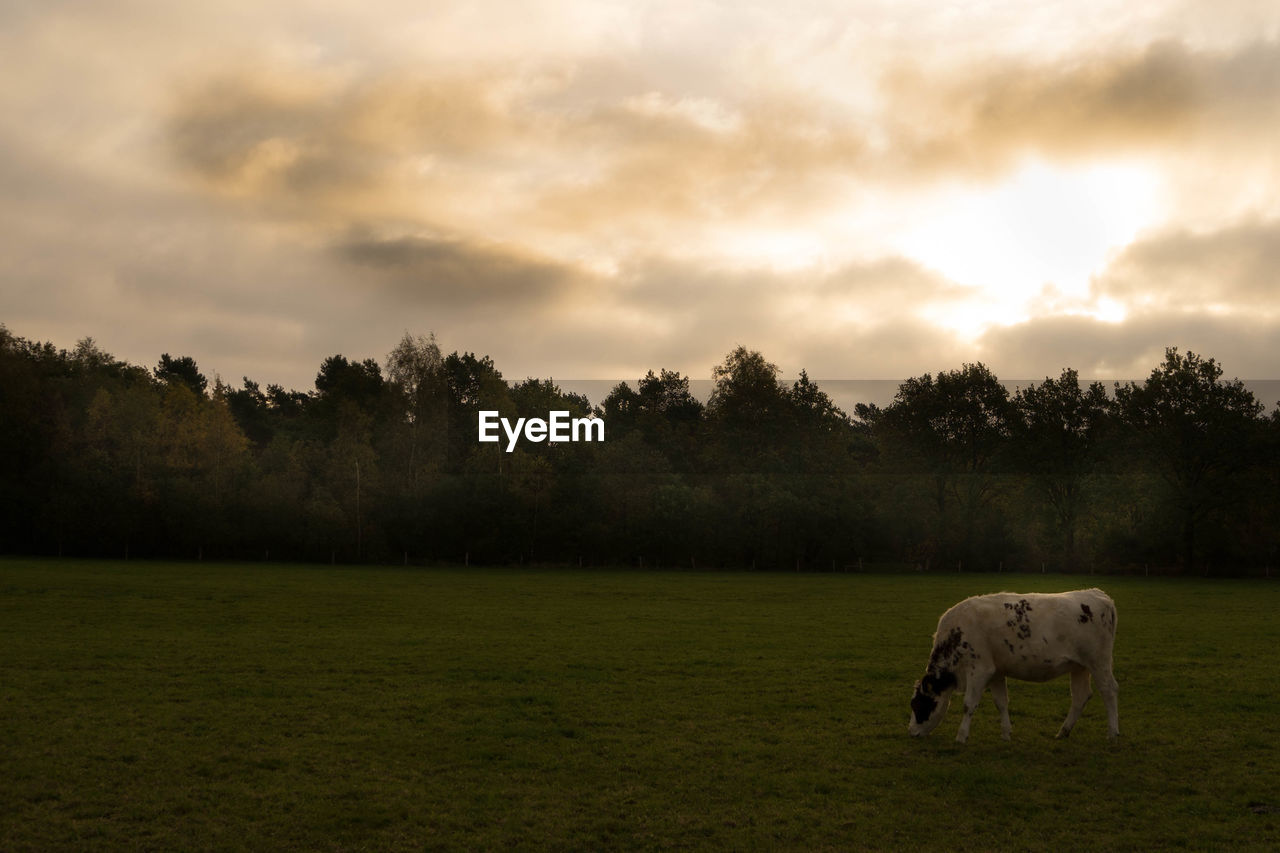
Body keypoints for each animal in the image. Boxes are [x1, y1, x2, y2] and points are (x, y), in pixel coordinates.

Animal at [906, 589, 1116, 742]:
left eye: (917, 705)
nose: (911, 732)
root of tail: (1098, 594)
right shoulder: (996, 672)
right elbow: (1001, 702)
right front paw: (1006, 733)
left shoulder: (979, 669)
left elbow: (969, 705)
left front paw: (961, 736)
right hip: (1079, 666)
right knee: (1080, 696)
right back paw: (1063, 732)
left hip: (1099, 662)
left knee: (1109, 690)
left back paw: (1112, 734)